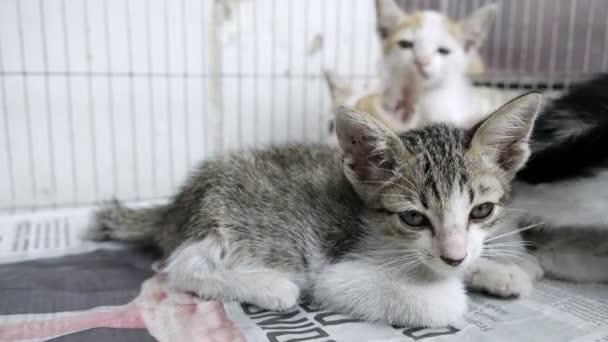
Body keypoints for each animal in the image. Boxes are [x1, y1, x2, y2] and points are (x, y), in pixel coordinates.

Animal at [89, 93, 540, 328]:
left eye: (481, 211)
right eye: (413, 217)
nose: (453, 257)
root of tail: (175, 206)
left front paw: (497, 271)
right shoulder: (337, 274)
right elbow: (440, 302)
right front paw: (455, 287)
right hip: (239, 222)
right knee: (181, 265)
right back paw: (270, 287)